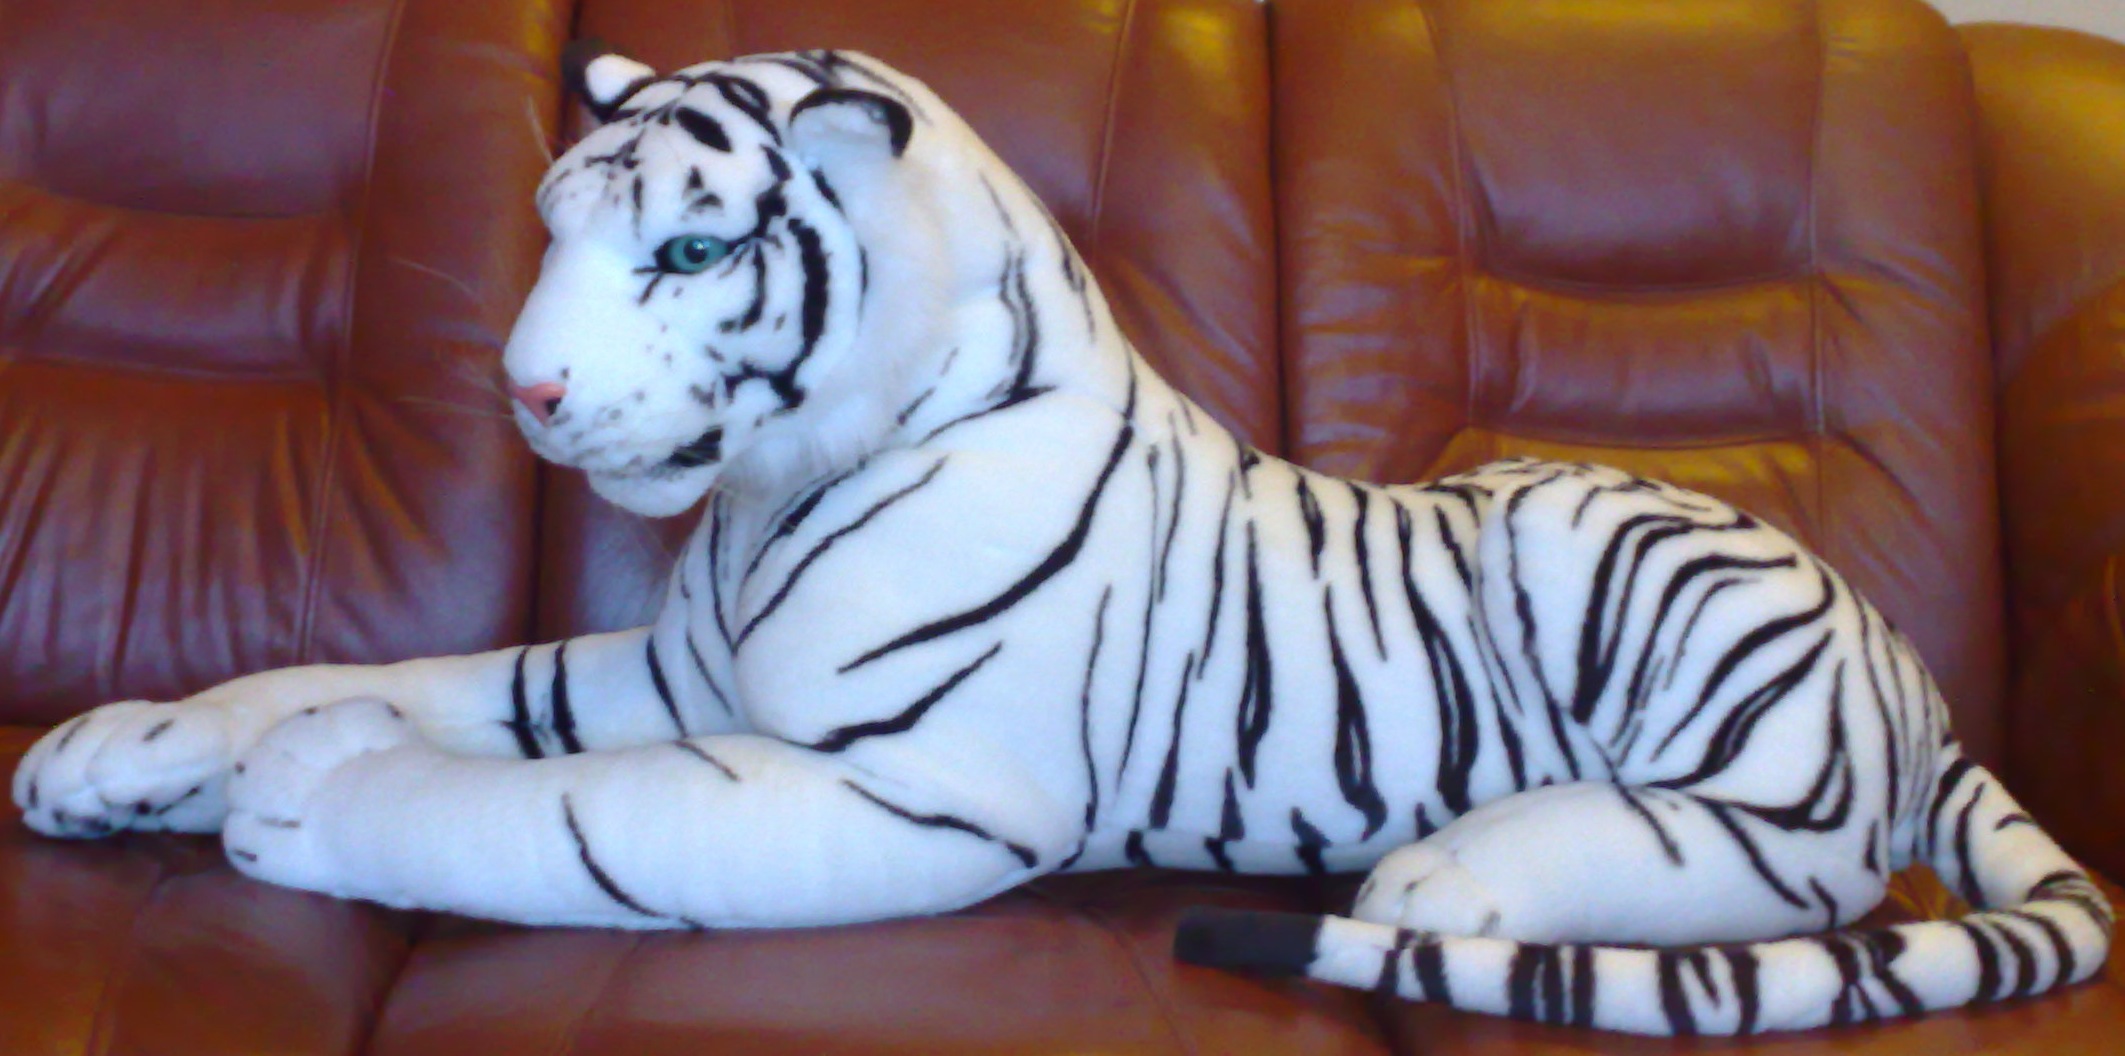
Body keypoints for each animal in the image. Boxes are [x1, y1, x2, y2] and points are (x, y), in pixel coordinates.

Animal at [11, 45, 2110, 1037]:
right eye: (546, 227)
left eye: (684, 249)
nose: (520, 390)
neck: (766, 496)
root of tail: (1908, 665)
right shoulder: (661, 673)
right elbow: (407, 673)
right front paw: (119, 749)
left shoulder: (909, 791)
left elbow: (538, 815)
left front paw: (310, 796)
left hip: (1638, 584)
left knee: (1748, 857)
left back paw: (1456, 874)